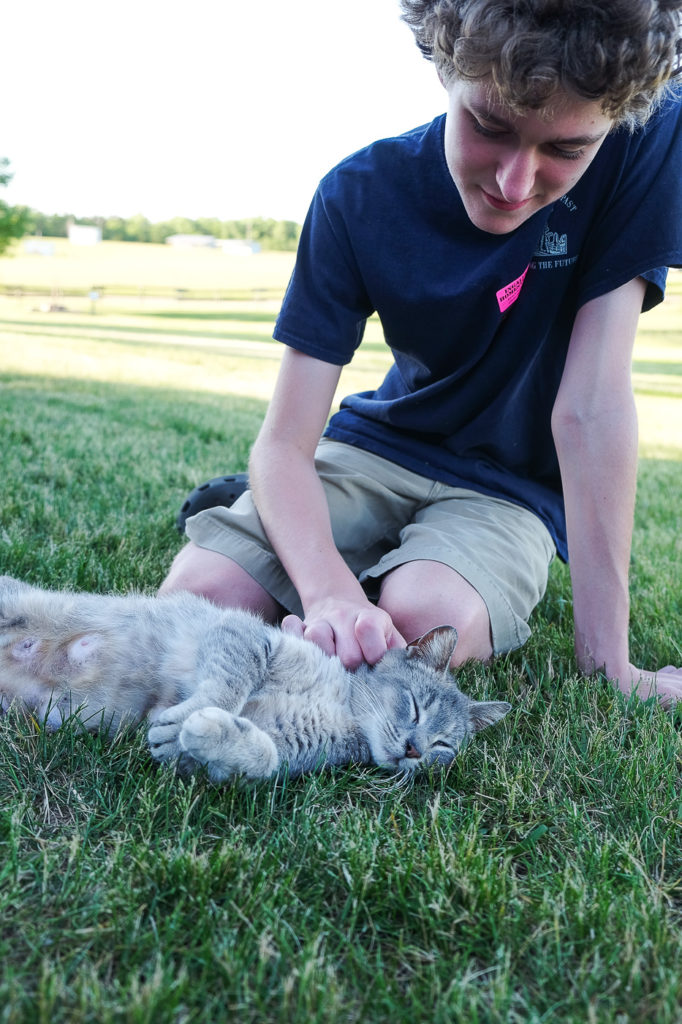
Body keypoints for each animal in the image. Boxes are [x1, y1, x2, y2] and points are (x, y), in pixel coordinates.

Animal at [0, 573, 509, 778]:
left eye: (444, 746)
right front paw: (187, 719)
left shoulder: (287, 749)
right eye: (415, 706)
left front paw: (200, 734)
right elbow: (228, 684)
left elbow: (259, 757)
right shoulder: (244, 635)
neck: (342, 706)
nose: (414, 750)